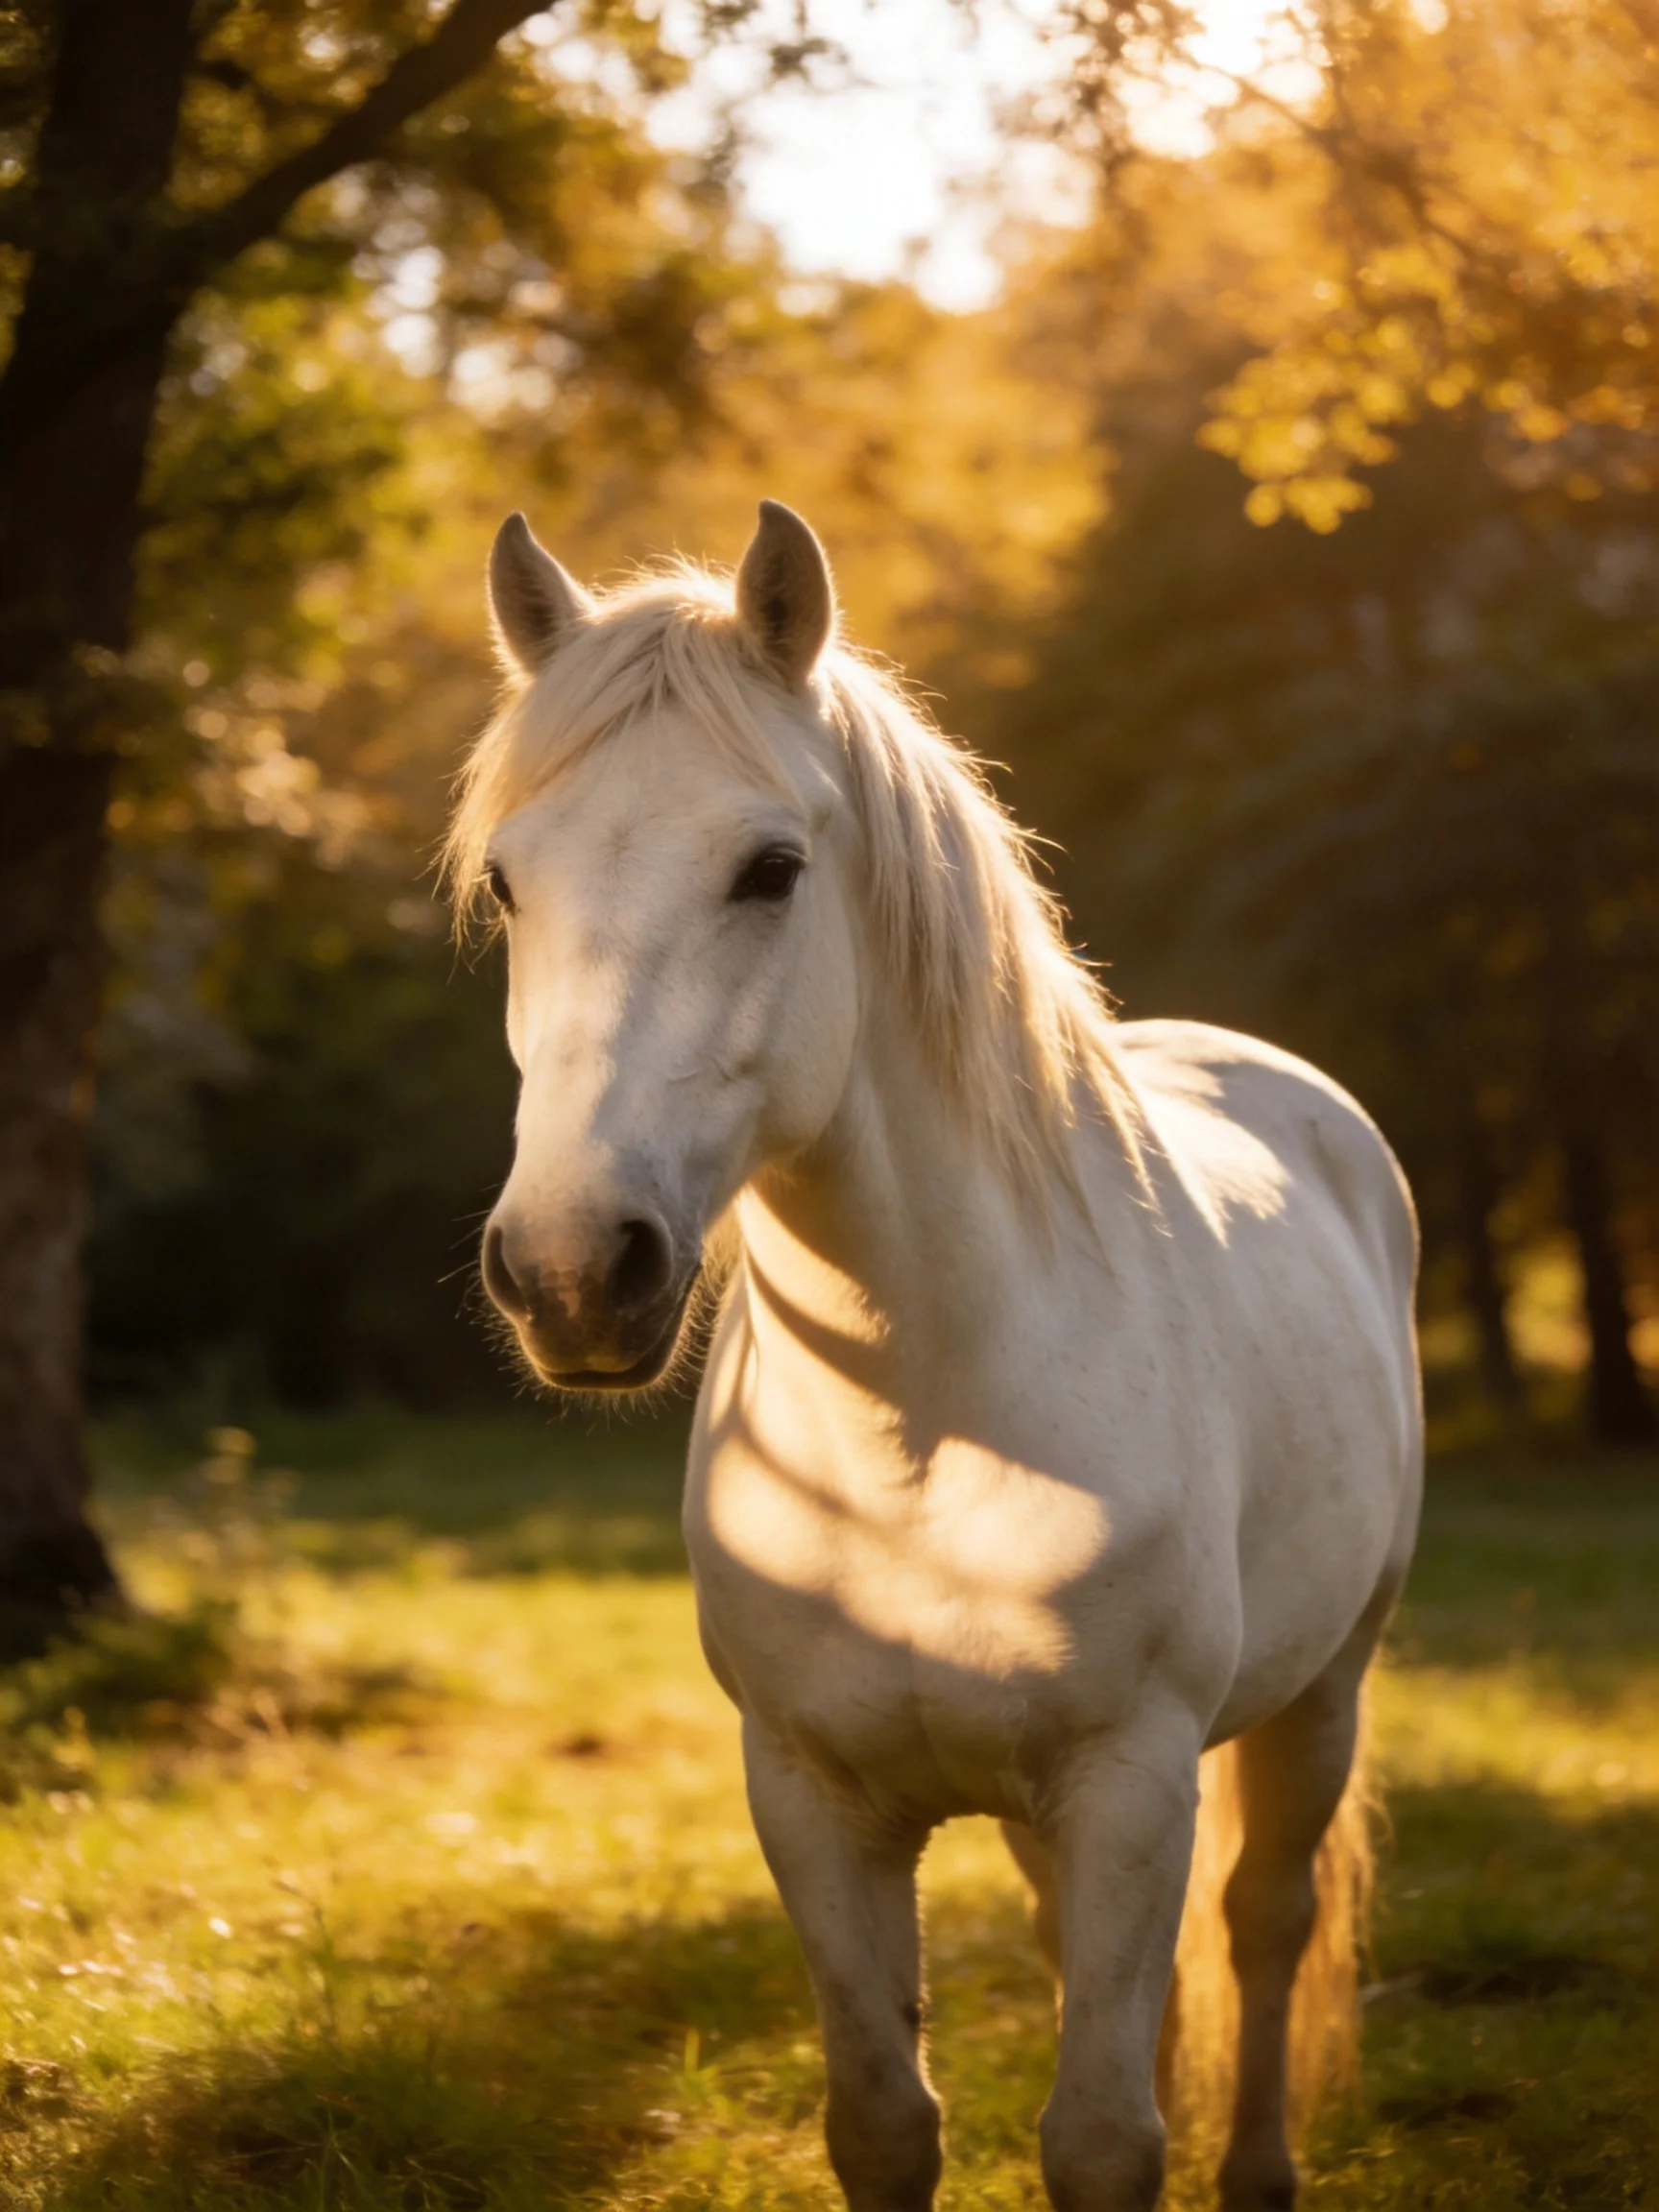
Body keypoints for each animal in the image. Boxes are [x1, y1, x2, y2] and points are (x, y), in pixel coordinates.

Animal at [447, 500, 1423, 2212]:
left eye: (770, 870)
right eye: (508, 886)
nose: (571, 1270)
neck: (917, 1427)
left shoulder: (1132, 1783)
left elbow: (1104, 2137)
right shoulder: (812, 1801)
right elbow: (887, 2121)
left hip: (1323, 1691)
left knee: (1266, 1927)